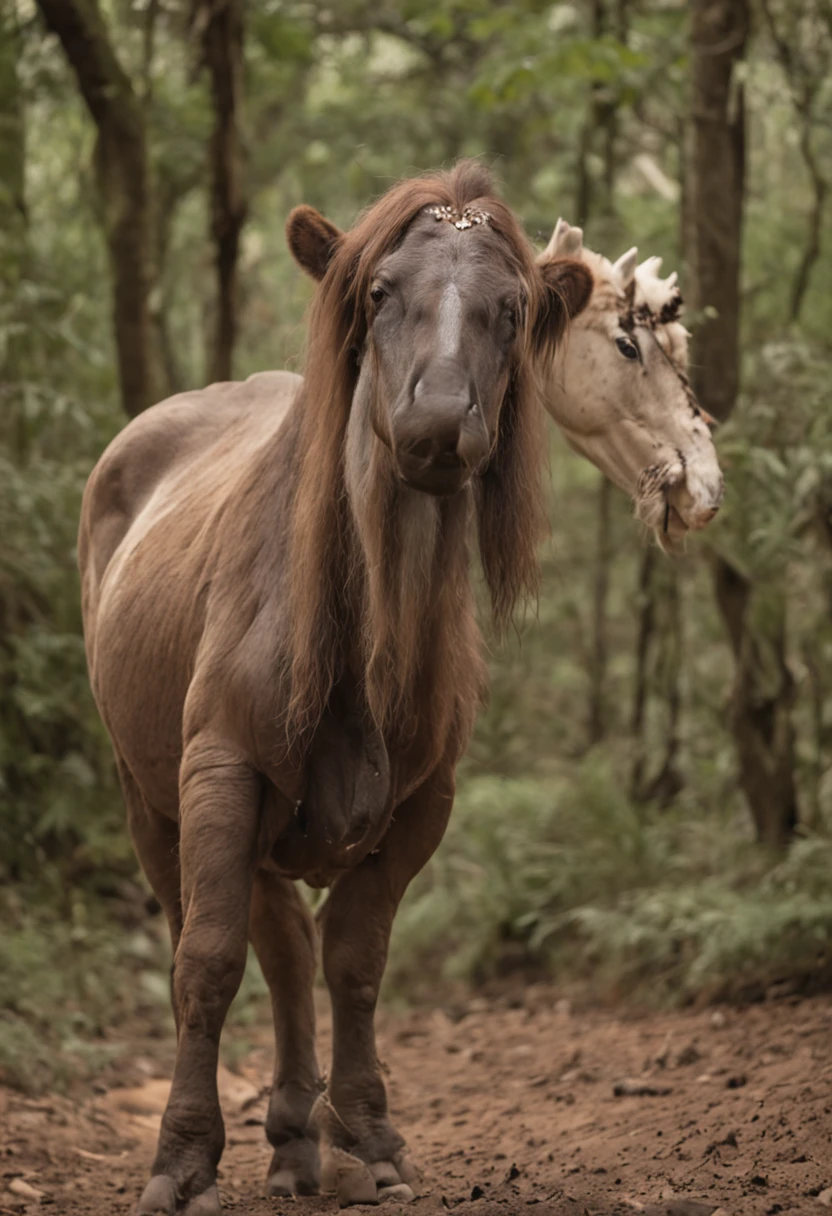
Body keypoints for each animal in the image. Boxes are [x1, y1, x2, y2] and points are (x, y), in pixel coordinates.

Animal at [79, 164, 591, 1216]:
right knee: (219, 929)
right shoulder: (219, 767)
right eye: (380, 292)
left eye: (512, 308)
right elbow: (205, 960)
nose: (438, 423)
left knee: (285, 946)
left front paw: (370, 1134)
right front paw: (181, 1158)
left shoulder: (426, 799)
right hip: (143, 790)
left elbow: (354, 957)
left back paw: (294, 1139)